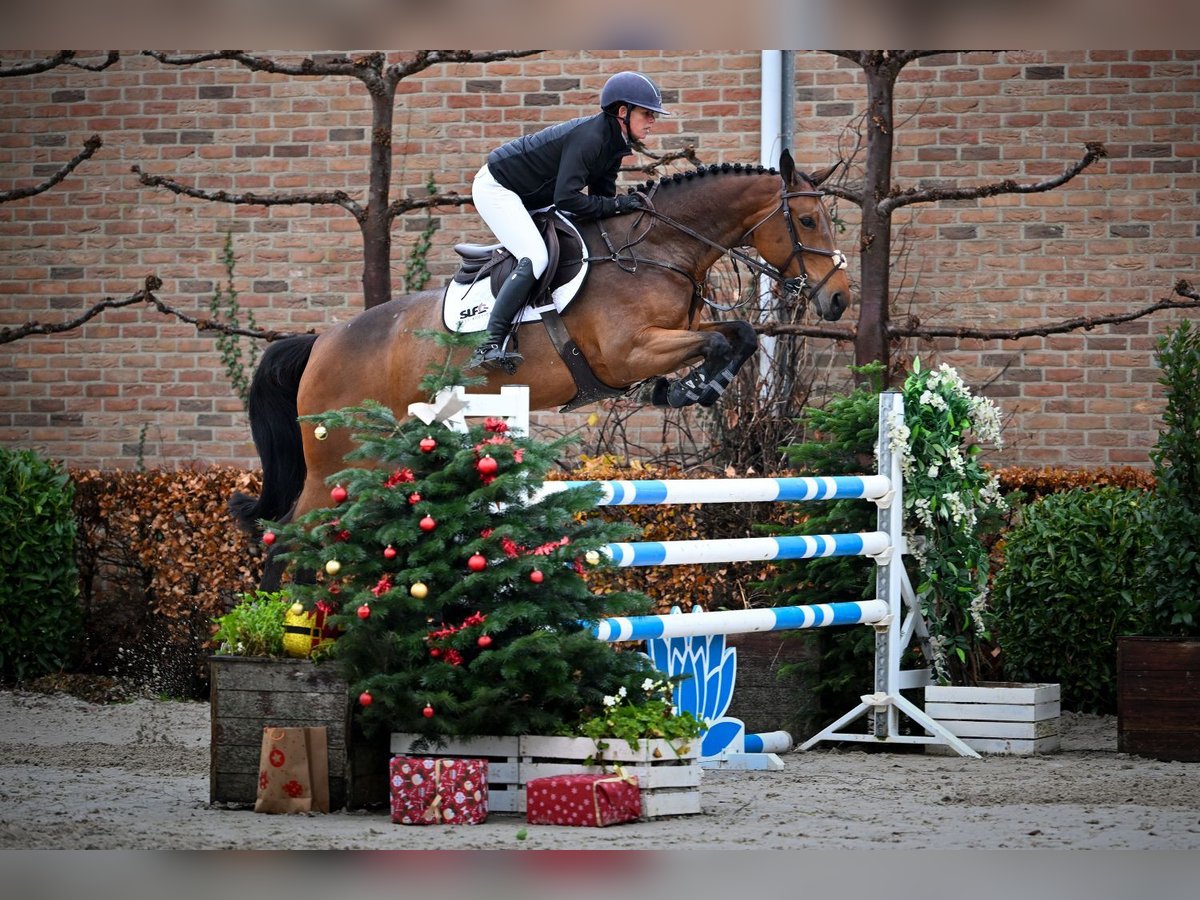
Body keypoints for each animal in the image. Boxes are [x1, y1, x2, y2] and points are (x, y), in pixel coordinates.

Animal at [231, 150, 854, 588]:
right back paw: (283, 633)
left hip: (382, 458)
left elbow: (737, 335)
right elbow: (717, 343)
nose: (839, 300)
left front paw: (697, 386)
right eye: (807, 220)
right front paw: (688, 389)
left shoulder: (677, 333)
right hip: (334, 463)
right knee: (286, 539)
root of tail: (321, 341)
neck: (659, 250)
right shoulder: (629, 352)